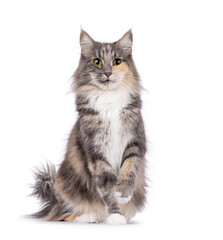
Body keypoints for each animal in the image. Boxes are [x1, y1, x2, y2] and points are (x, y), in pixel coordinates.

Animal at [30, 29, 146, 224]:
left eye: (117, 61)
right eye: (97, 61)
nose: (108, 73)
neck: (109, 100)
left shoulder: (135, 143)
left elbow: (129, 170)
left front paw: (123, 194)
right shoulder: (96, 154)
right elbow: (108, 190)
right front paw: (116, 215)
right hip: (63, 186)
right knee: (62, 214)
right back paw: (89, 216)